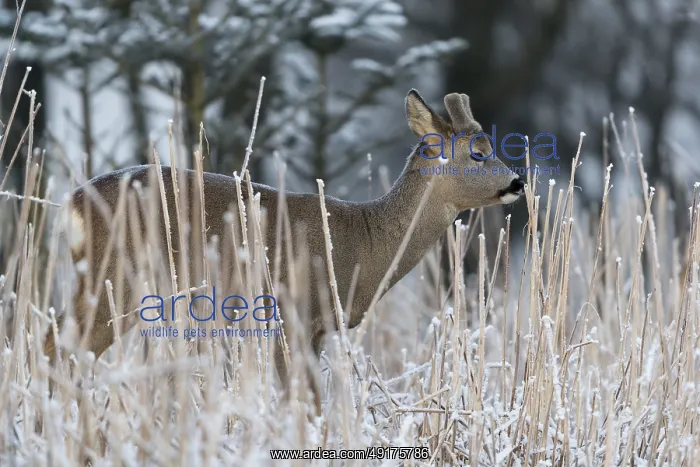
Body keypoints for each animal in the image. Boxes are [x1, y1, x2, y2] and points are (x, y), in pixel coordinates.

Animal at [42, 89, 524, 414]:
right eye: (478, 154)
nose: (518, 182)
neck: (362, 244)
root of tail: (73, 203)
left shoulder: (318, 328)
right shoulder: (289, 312)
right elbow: (301, 399)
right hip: (114, 277)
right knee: (59, 344)